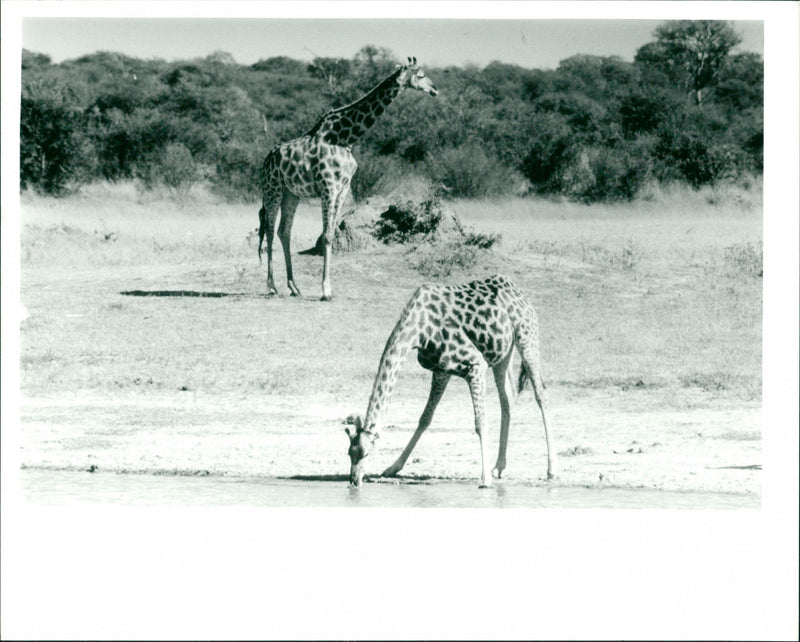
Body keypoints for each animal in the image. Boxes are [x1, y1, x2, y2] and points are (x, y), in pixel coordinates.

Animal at [257, 57, 438, 301]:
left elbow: (331, 234)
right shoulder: (329, 188)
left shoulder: (343, 189)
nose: (434, 89)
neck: (345, 138)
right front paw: (326, 290)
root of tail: (266, 160)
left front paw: (326, 288)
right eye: (420, 75)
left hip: (291, 193)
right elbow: (326, 236)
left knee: (283, 231)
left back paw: (294, 286)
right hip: (272, 189)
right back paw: (272, 286)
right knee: (268, 230)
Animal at [345, 274, 557, 488]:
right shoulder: (441, 370)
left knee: (541, 394)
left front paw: (484, 479)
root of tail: (517, 290)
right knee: (508, 398)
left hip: (527, 338)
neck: (418, 330)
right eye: (349, 453)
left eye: (366, 453)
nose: (354, 481)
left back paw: (551, 470)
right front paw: (393, 467)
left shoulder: (475, 364)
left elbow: (480, 422)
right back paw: (498, 467)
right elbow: (425, 418)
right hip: (503, 354)